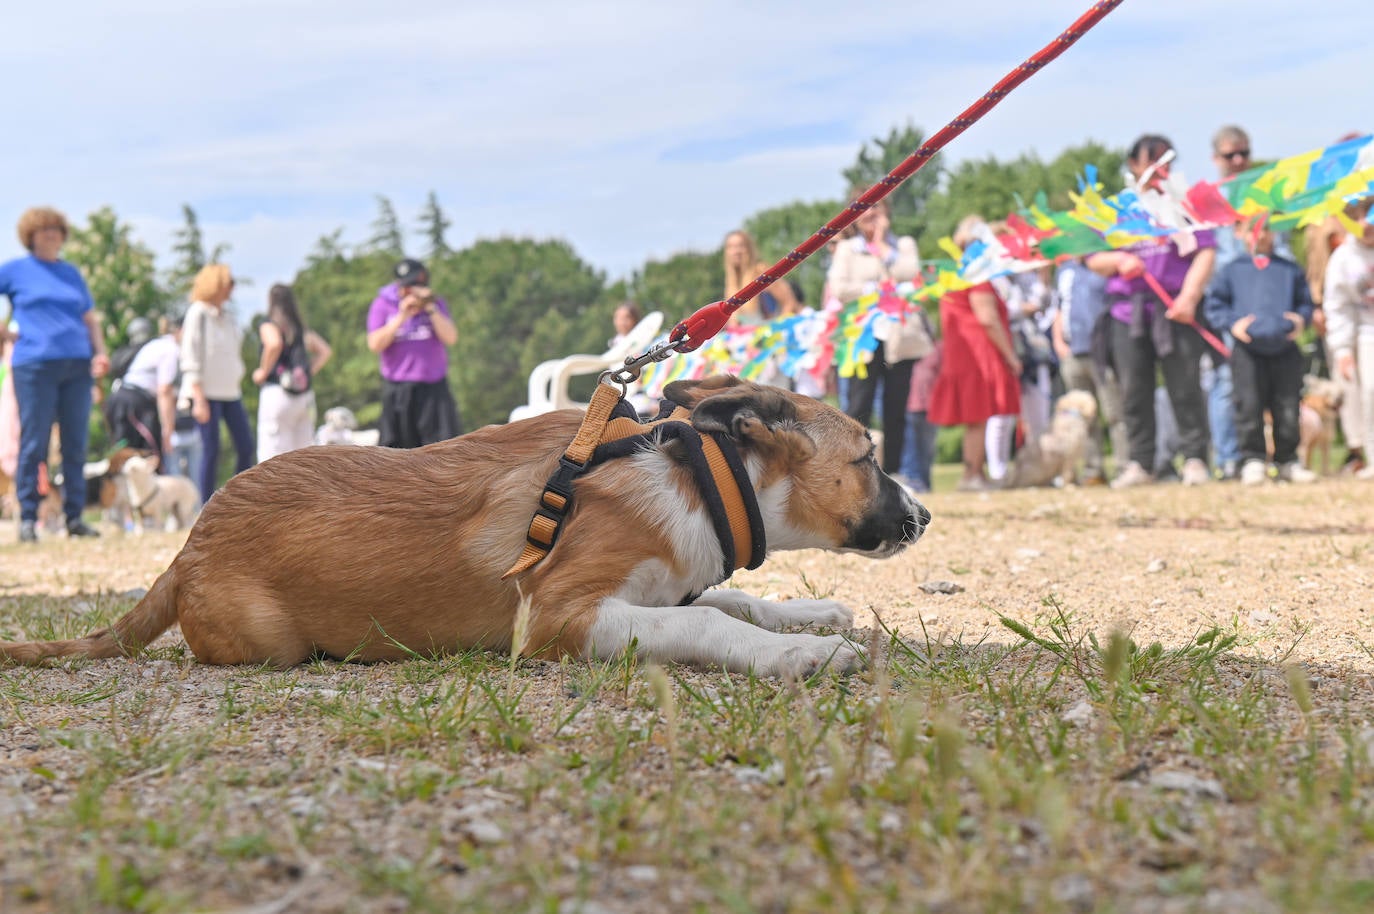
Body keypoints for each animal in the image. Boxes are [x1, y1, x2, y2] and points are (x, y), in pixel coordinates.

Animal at [2, 373, 934, 676]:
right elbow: (710, 619)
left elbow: (728, 601)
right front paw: (806, 653)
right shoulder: (557, 615)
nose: (923, 514)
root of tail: (188, 545)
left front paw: (807, 613)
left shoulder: (652, 590)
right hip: (269, 640)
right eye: (870, 456)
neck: (696, 481)